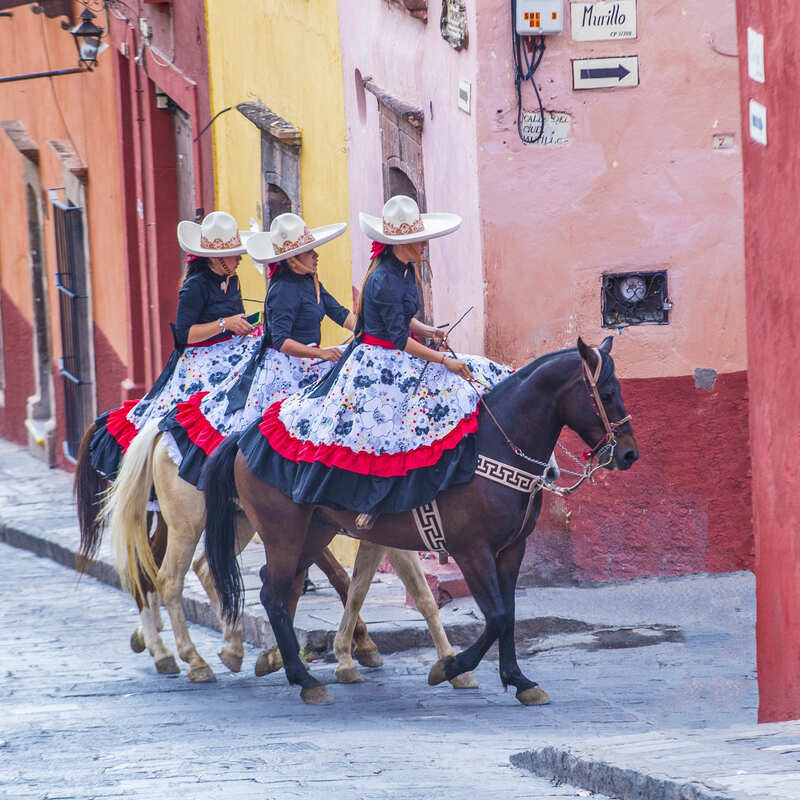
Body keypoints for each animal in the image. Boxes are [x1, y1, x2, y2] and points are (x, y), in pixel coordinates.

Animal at [84, 418, 478, 688]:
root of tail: (160, 428)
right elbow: (358, 588)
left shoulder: (377, 538)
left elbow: (388, 593)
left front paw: (450, 667)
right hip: (188, 523)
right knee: (167, 578)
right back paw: (191, 660)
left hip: (236, 523)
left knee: (200, 569)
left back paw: (223, 648)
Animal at [205, 338, 636, 708]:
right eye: (606, 394)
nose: (629, 454)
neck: (496, 445)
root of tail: (243, 437)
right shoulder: (471, 550)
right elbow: (496, 616)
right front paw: (450, 667)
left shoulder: (512, 549)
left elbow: (509, 613)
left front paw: (518, 680)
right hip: (284, 533)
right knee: (273, 594)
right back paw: (304, 679)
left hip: (314, 531)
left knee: (279, 587)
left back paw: (286, 666)